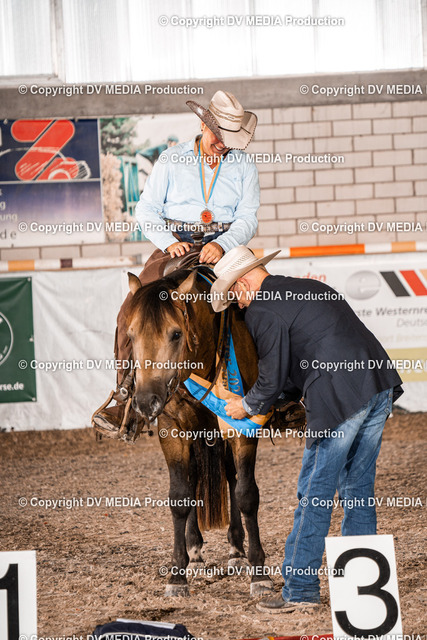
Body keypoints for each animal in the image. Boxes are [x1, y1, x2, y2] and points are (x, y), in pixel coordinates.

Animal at [125, 267, 274, 598]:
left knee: (232, 478)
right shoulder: (171, 429)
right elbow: (180, 497)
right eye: (130, 335)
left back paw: (236, 550)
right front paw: (177, 574)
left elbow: (246, 494)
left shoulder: (241, 428)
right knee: (193, 479)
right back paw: (195, 554)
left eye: (175, 333)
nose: (146, 401)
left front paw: (259, 574)